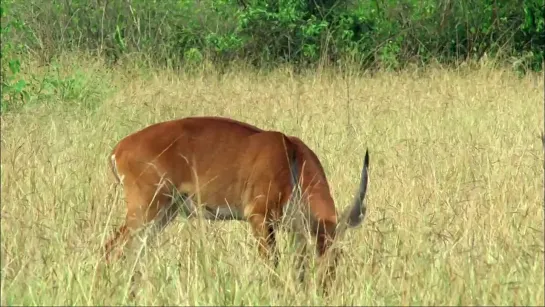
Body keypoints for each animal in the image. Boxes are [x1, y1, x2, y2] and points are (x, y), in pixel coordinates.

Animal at [103, 116, 370, 290]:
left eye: (339, 255)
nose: (325, 288)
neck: (291, 158)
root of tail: (119, 148)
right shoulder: (259, 218)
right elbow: (273, 264)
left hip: (163, 214)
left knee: (134, 253)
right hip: (145, 210)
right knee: (111, 248)